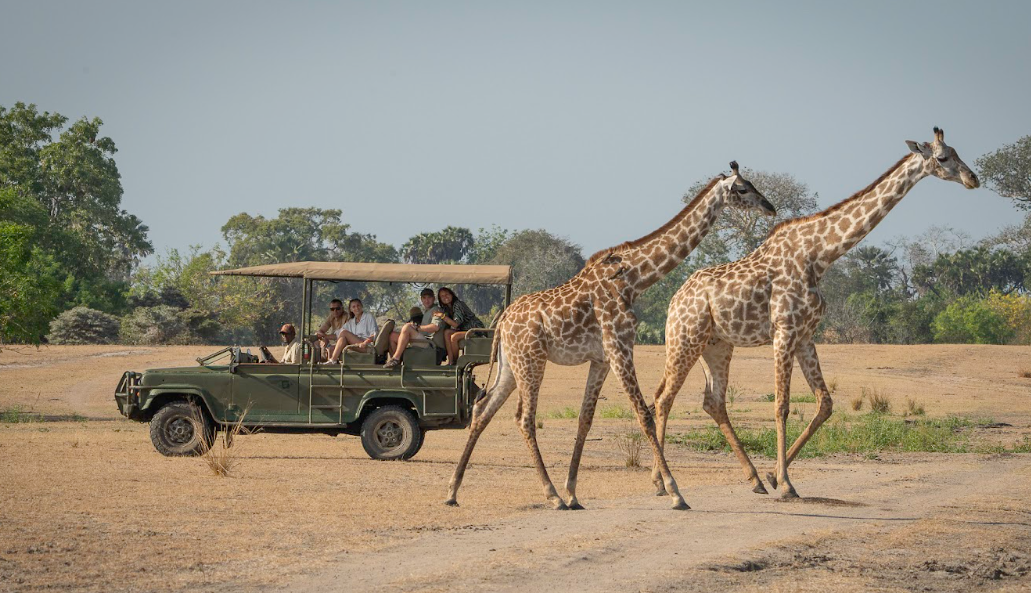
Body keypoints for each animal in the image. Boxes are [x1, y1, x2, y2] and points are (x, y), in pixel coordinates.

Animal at [443, 160, 775, 511]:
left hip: (510, 364)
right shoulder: (620, 347)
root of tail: (504, 320)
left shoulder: (601, 358)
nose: (770, 207)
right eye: (743, 189)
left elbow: (585, 419)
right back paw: (551, 495)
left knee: (483, 409)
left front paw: (574, 492)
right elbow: (644, 413)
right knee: (523, 418)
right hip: (531, 361)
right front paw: (674, 492)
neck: (633, 280)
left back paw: (453, 491)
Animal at [651, 127, 981, 499]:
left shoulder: (806, 335)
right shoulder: (784, 331)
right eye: (942, 157)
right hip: (685, 339)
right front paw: (786, 483)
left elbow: (825, 403)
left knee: (712, 402)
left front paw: (773, 475)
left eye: (957, 151)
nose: (973, 178)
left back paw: (747, 479)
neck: (820, 254)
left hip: (717, 345)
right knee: (664, 397)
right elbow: (781, 406)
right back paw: (666, 484)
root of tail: (674, 300)